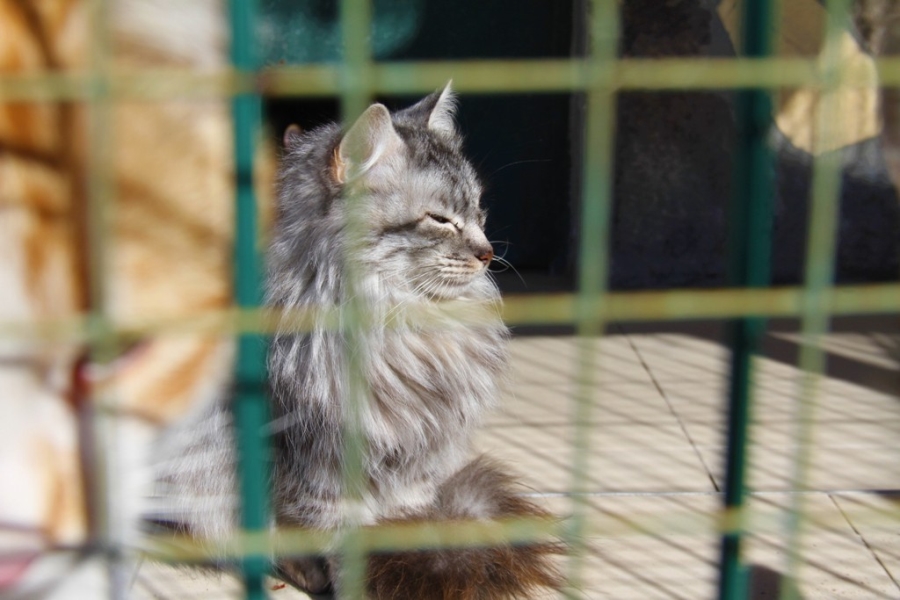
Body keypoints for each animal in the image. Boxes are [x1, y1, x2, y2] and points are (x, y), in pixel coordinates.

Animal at [158, 85, 560, 600]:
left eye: (479, 212)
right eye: (441, 220)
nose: (489, 253)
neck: (401, 326)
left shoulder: (416, 455)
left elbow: (406, 515)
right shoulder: (315, 456)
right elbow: (328, 534)